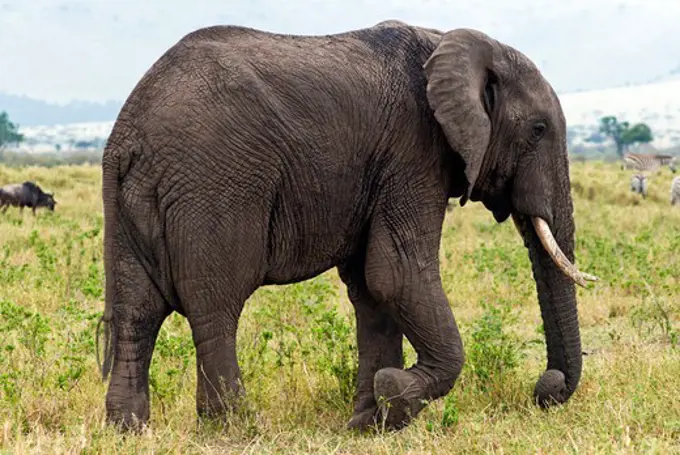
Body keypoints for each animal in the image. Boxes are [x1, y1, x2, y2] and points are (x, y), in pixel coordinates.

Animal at [98, 19, 596, 432]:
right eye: (538, 130)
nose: (546, 386)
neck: (450, 41)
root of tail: (129, 134)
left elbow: (372, 288)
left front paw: (371, 422)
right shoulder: (413, 153)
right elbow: (396, 273)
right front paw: (395, 394)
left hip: (130, 203)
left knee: (136, 309)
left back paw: (128, 428)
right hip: (215, 185)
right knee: (216, 304)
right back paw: (235, 428)